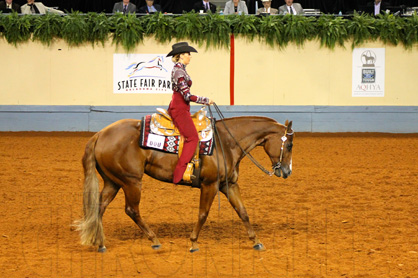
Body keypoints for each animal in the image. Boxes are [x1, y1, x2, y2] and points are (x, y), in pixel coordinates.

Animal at [75, 114, 296, 253]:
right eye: (290, 145)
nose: (287, 172)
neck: (226, 142)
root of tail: (100, 134)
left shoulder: (229, 185)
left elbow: (243, 212)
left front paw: (256, 241)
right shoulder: (210, 185)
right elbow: (203, 214)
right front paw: (193, 243)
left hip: (113, 182)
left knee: (99, 208)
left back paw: (100, 244)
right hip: (131, 182)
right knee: (131, 210)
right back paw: (155, 241)